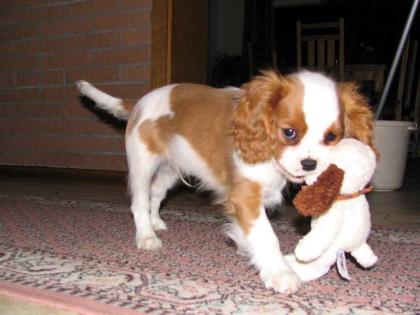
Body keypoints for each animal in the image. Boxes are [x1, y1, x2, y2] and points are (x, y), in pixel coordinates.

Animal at [76, 69, 378, 294]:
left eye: (331, 137)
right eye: (289, 133)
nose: (310, 164)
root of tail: (139, 102)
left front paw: (247, 247)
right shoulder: (245, 195)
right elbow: (266, 235)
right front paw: (280, 271)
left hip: (172, 169)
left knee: (155, 194)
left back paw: (156, 222)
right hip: (143, 163)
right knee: (139, 200)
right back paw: (146, 235)